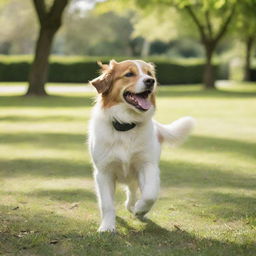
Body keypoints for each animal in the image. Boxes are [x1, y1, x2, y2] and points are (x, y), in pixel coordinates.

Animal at [88, 60, 194, 232]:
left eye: (149, 74)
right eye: (129, 74)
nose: (151, 81)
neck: (126, 125)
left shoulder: (147, 165)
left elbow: (150, 194)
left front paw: (140, 209)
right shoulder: (104, 172)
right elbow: (107, 204)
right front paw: (107, 226)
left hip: (134, 176)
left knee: (133, 193)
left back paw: (135, 208)